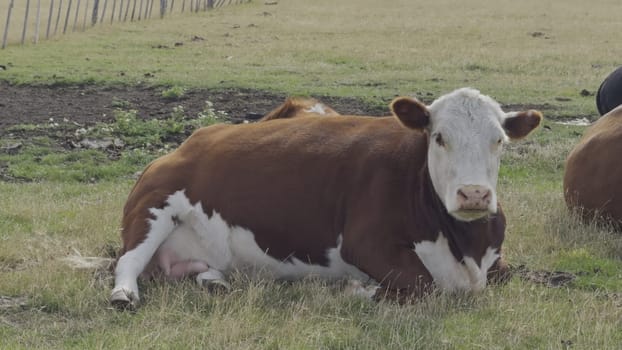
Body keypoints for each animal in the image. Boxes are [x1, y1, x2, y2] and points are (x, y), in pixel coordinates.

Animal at [111, 88, 540, 308]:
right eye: (439, 137)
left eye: (499, 140)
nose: (474, 194)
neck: (465, 246)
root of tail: (190, 141)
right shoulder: (364, 242)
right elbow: (422, 283)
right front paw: (361, 290)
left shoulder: (495, 261)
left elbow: (510, 274)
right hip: (154, 205)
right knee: (127, 261)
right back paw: (124, 295)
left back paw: (216, 281)